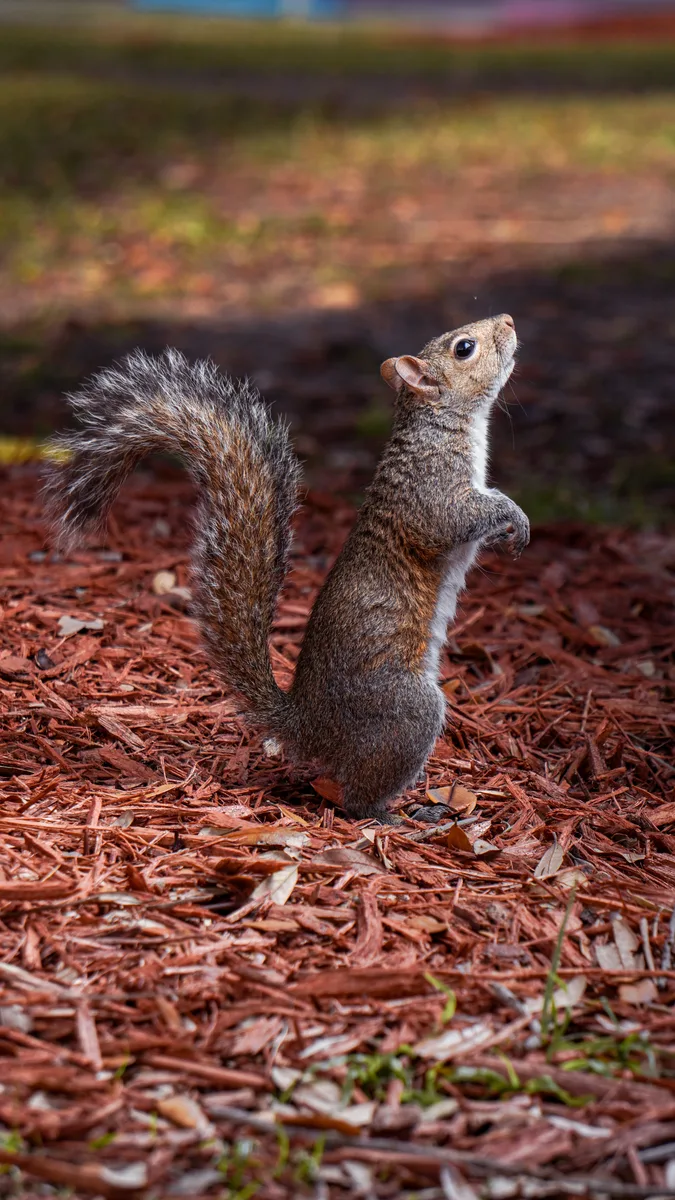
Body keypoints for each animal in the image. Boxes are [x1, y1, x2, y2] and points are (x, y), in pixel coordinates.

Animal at [44, 312, 529, 824]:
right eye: (464, 348)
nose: (509, 319)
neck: (442, 423)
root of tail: (307, 726)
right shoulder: (431, 490)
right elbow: (455, 519)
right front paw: (514, 517)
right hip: (406, 713)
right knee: (358, 796)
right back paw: (401, 816)